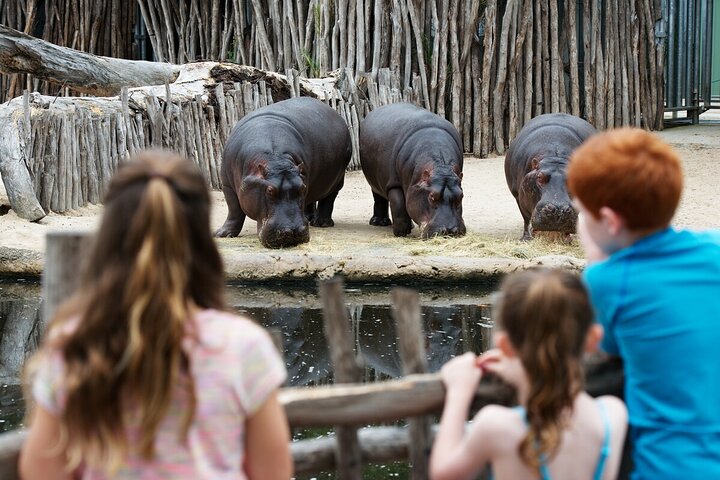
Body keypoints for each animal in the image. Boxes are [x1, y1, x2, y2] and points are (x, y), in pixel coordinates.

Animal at [217, 96, 352, 249]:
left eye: (302, 188)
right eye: (269, 190)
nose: (293, 231)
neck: (275, 158)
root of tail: (336, 114)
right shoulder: (227, 185)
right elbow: (234, 210)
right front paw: (223, 234)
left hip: (337, 180)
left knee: (328, 199)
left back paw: (321, 223)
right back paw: (309, 218)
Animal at [360, 103, 466, 238]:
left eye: (461, 196)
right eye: (432, 196)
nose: (450, 230)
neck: (440, 166)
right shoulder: (394, 184)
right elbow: (398, 205)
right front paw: (401, 233)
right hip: (375, 182)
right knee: (379, 198)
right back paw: (379, 222)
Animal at [500, 112, 596, 240]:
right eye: (539, 177)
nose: (558, 209)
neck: (555, 156)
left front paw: (567, 239)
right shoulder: (518, 195)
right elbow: (526, 218)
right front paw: (526, 238)